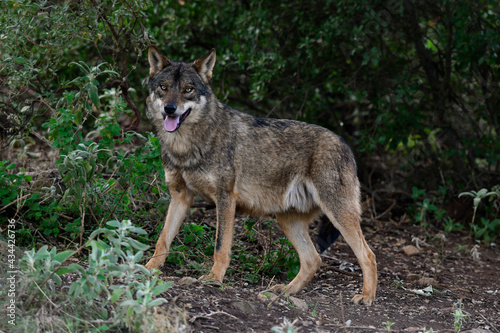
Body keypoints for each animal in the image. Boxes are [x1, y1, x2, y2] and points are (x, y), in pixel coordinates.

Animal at [143, 45, 376, 304]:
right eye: (164, 87)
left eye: (188, 90)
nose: (169, 109)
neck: (185, 147)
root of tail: (346, 146)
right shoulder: (180, 197)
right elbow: (163, 239)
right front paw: (149, 268)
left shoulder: (225, 198)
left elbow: (220, 246)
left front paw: (214, 278)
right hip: (288, 220)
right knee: (313, 259)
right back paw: (284, 292)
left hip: (337, 214)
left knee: (368, 255)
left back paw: (367, 297)